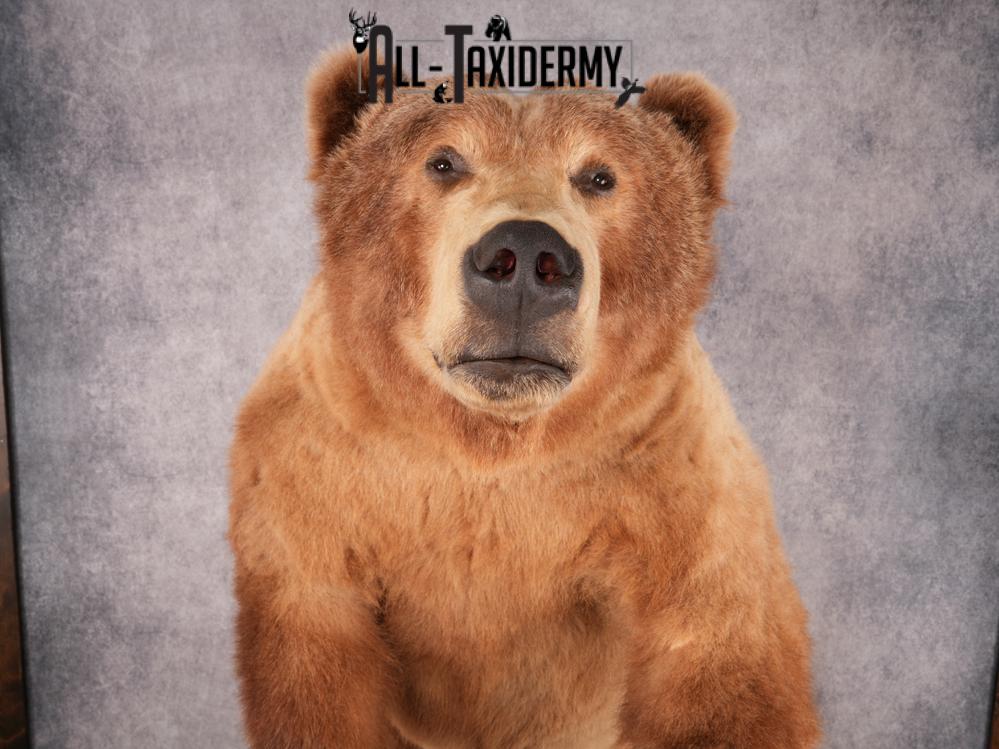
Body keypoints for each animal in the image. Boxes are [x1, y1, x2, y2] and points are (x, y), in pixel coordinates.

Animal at [228, 46, 821, 749]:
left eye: (598, 176)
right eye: (443, 161)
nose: (526, 254)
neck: (494, 441)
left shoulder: (672, 487)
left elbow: (721, 671)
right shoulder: (322, 474)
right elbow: (316, 669)